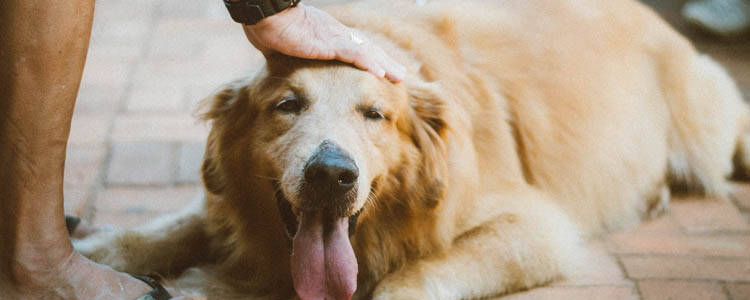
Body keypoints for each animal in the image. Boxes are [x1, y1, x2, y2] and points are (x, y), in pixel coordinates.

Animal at [75, 1, 750, 298]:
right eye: (287, 105)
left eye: (376, 115)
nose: (330, 175)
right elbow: (170, 227)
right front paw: (93, 251)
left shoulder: (535, 226)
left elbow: (412, 279)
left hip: (709, 125)